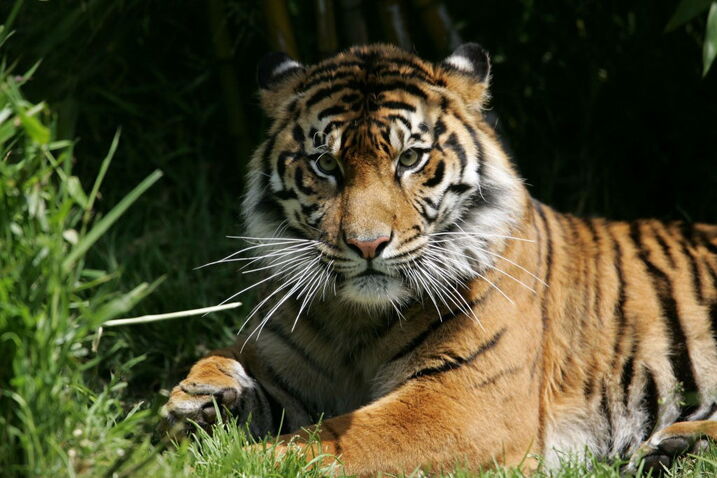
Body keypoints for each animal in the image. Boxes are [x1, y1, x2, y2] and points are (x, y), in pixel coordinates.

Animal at [162, 43, 717, 476]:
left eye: (410, 158)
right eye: (326, 164)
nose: (367, 244)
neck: (353, 322)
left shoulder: (462, 403)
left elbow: (322, 444)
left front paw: (218, 462)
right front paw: (201, 397)